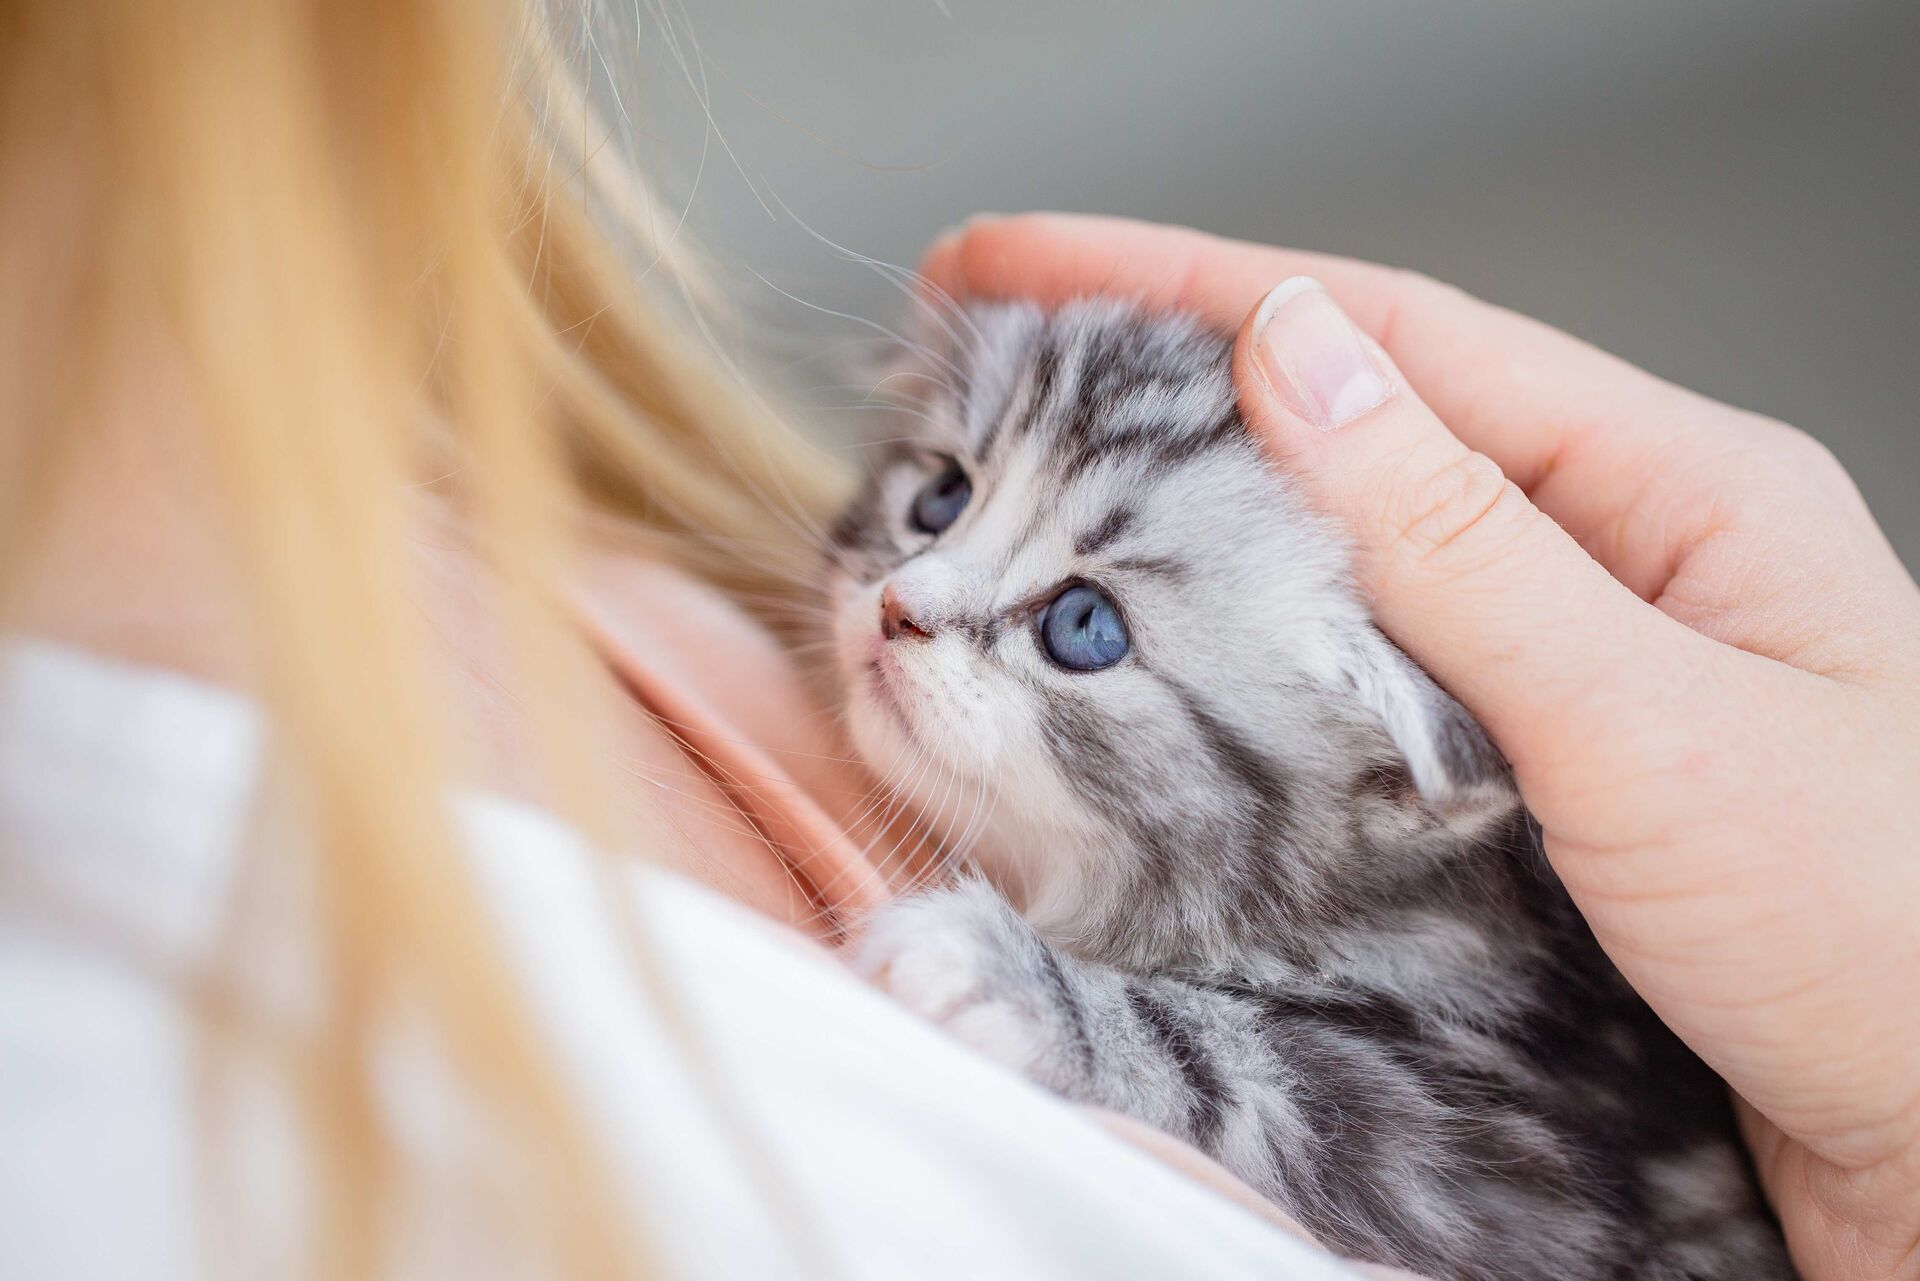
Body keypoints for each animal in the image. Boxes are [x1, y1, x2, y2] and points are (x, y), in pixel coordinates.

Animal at [817, 297, 1789, 1281]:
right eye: (940, 496)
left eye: (1084, 626)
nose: (896, 607)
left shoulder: (1510, 1171)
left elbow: (1236, 1065)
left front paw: (985, 966)